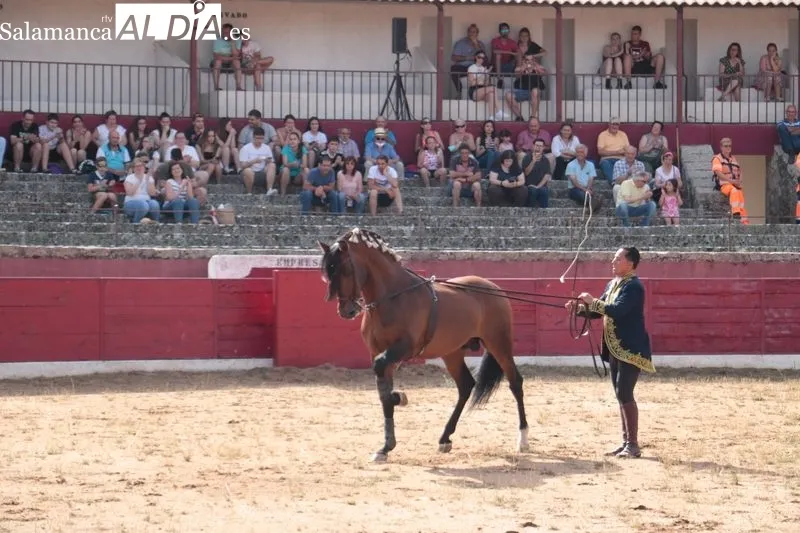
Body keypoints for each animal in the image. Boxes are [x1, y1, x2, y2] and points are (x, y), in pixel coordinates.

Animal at [318, 227, 529, 462]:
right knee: (466, 386)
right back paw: (445, 438)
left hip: (498, 343)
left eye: (345, 270)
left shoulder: (403, 348)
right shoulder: (378, 352)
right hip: (453, 353)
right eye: (327, 272)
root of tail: (494, 288)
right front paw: (385, 447)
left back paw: (523, 439)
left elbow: (384, 382)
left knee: (515, 382)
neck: (392, 297)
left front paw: (398, 398)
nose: (347, 310)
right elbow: (383, 394)